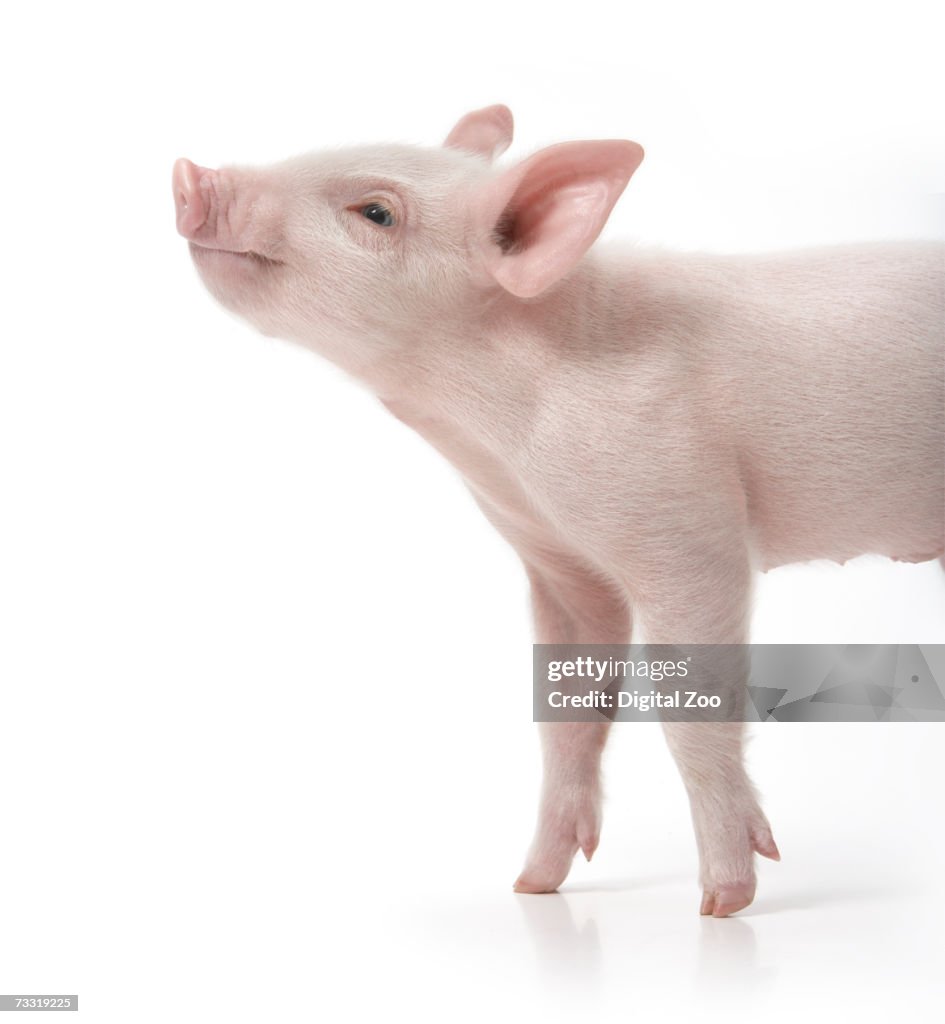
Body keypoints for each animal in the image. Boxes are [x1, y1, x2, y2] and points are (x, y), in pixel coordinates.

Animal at [172, 105, 945, 921]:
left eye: (376, 212)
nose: (190, 173)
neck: (484, 430)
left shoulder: (687, 526)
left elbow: (688, 707)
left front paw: (721, 903)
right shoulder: (557, 557)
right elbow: (565, 710)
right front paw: (531, 886)